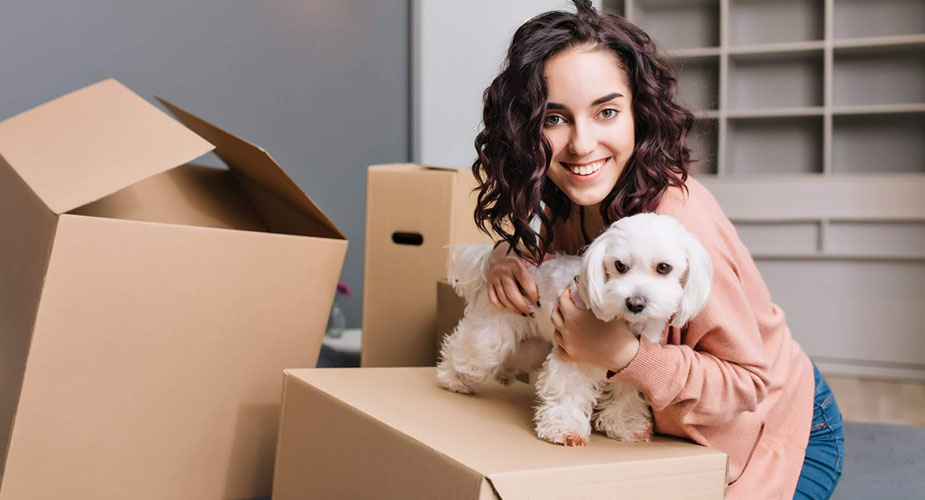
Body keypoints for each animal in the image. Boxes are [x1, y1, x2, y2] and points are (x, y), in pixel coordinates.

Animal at [436, 213, 712, 448]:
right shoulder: (571, 354)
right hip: (492, 334)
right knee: (469, 350)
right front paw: (565, 429)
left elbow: (626, 394)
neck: (623, 322)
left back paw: (503, 374)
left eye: (664, 268)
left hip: (533, 345)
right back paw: (452, 379)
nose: (635, 302)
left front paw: (627, 426)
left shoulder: (629, 362)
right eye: (620, 265)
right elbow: (568, 390)